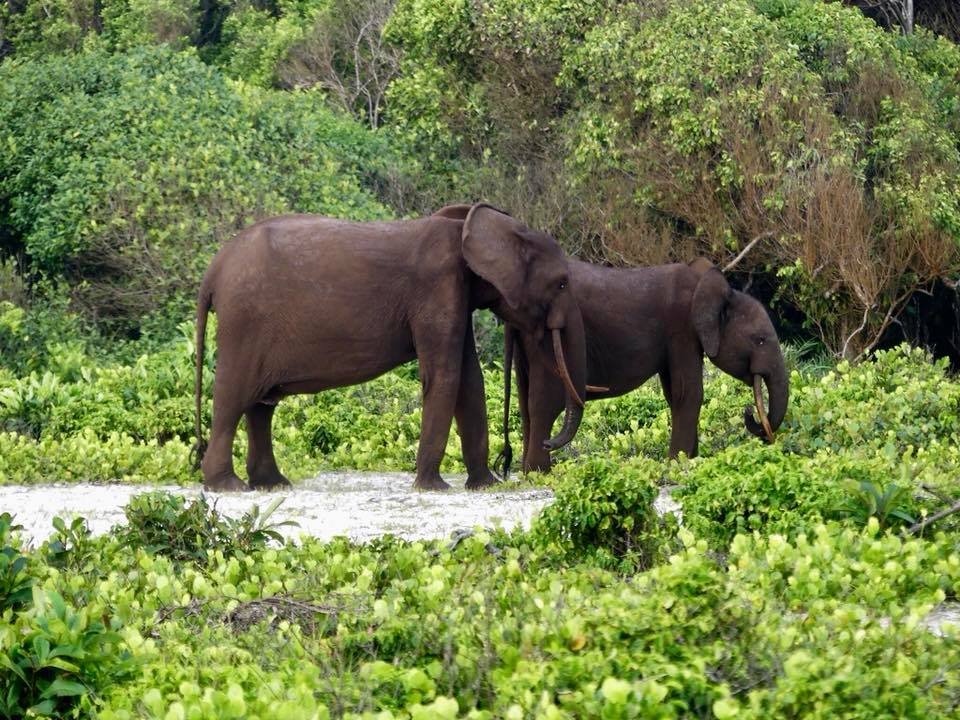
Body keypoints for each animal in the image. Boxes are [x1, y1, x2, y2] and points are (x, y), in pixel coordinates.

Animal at [191, 205, 588, 492]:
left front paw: (484, 486)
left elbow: (470, 383)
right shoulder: (437, 289)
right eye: (562, 284)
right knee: (233, 397)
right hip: (244, 322)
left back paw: (271, 485)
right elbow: (444, 377)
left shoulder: (456, 296)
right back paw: (228, 487)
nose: (548, 444)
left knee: (261, 404)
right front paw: (433, 487)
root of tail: (212, 271)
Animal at [502, 258, 788, 472]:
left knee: (525, 401)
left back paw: (527, 471)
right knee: (544, 403)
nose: (749, 412)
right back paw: (539, 472)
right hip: (548, 342)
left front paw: (689, 458)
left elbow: (674, 393)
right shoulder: (682, 328)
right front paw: (678, 463)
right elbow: (689, 392)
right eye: (760, 340)